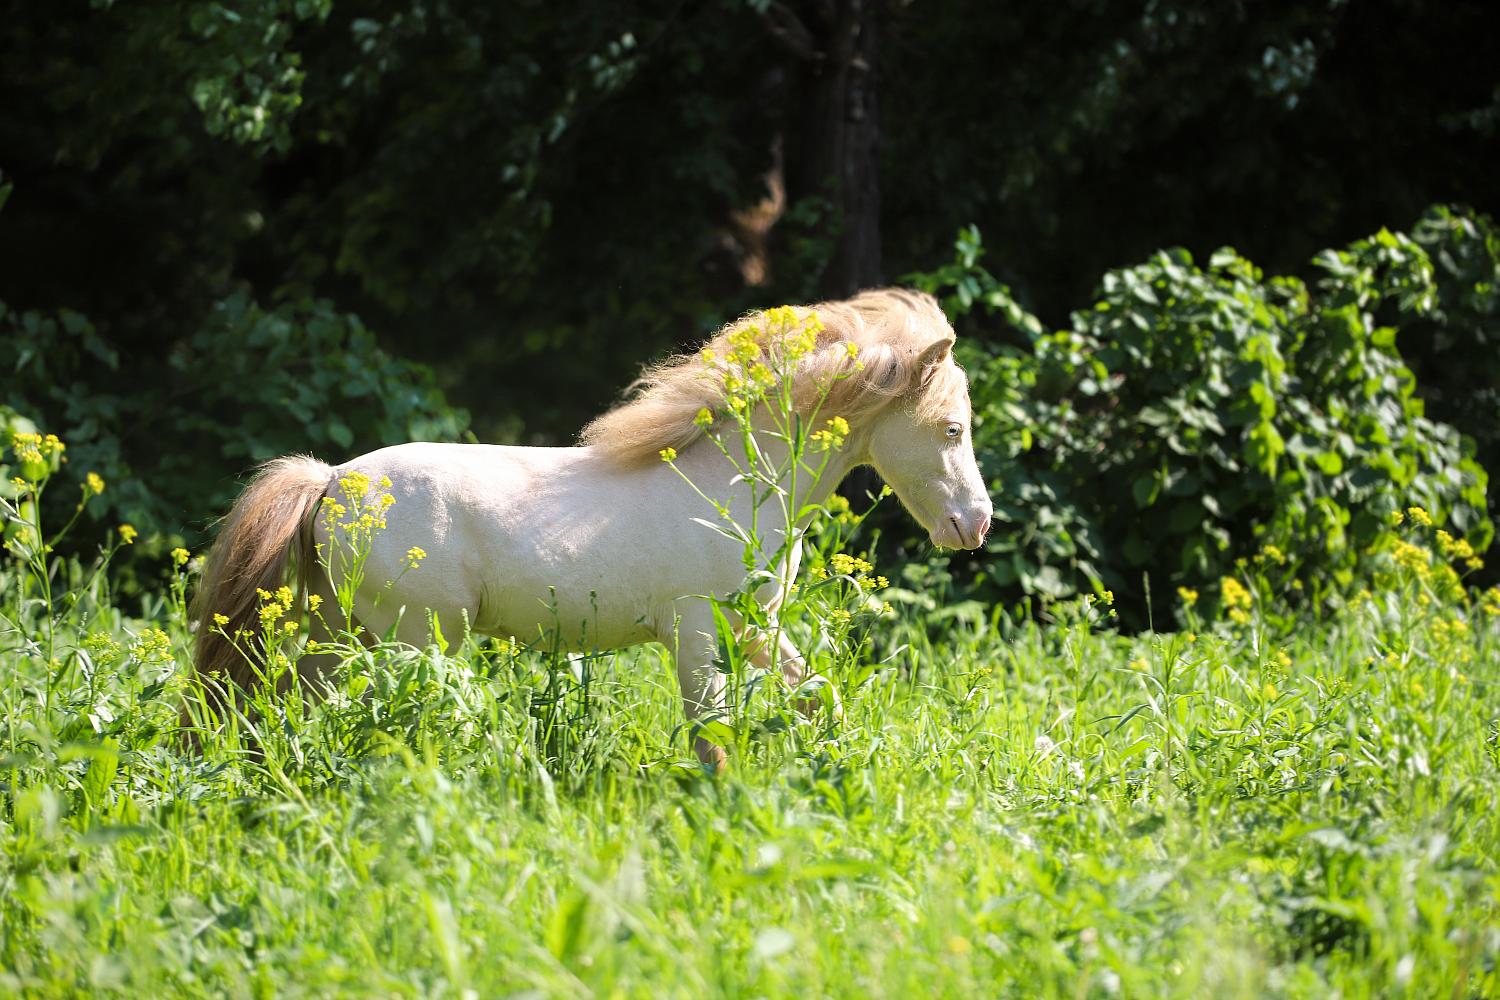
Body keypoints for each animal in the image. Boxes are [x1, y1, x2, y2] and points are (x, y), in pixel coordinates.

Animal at [190, 288, 992, 767]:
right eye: (952, 428)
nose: (974, 525)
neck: (732, 484)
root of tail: (329, 480)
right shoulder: (696, 634)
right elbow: (712, 735)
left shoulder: (755, 628)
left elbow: (819, 696)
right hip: (417, 636)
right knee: (394, 710)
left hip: (345, 629)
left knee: (288, 697)